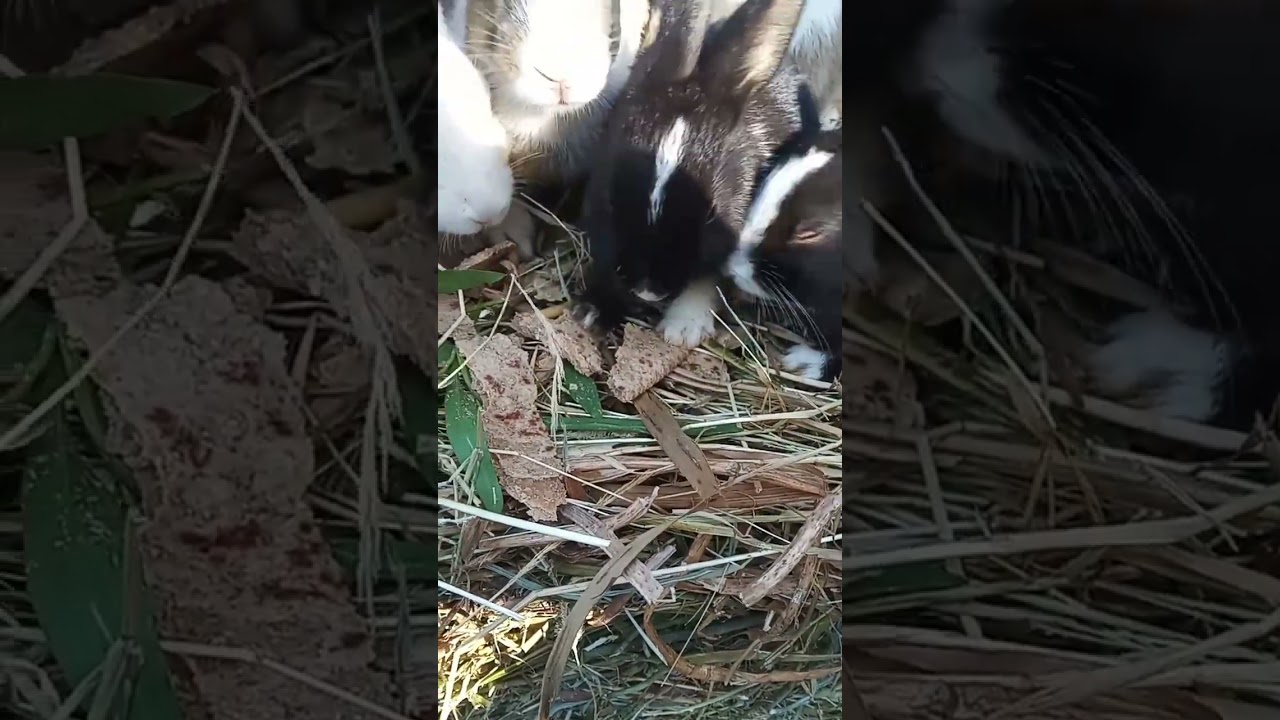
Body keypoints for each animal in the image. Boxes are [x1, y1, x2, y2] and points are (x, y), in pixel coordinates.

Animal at [571, 0, 815, 353]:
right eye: (610, 199)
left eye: (709, 216)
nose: (648, 289)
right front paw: (592, 312)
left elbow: (708, 278)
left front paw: (682, 328)